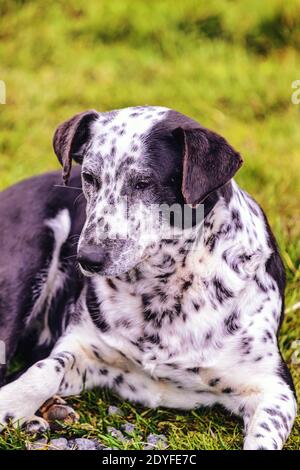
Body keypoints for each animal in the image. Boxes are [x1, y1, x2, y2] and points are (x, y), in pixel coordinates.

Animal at [0, 106, 296, 448]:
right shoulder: (84, 348)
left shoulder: (274, 388)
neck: (164, 289)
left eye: (143, 182)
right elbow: (44, 369)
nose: (87, 258)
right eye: (89, 177)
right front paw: (12, 402)